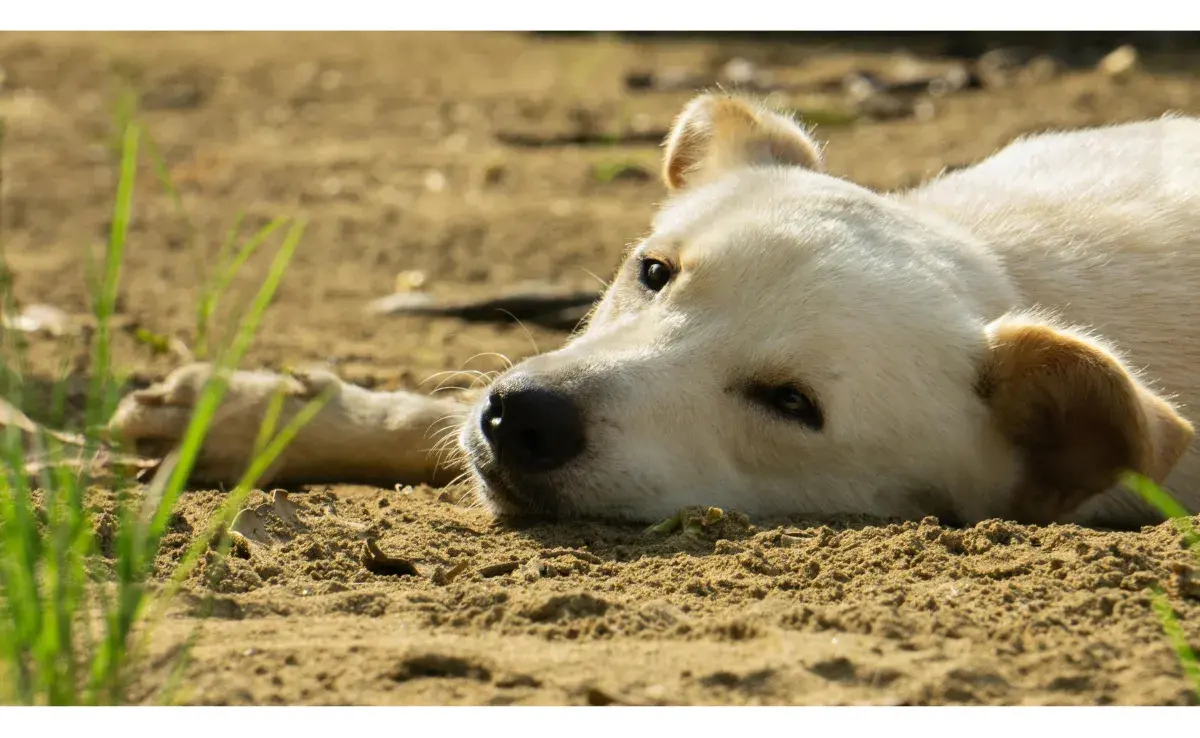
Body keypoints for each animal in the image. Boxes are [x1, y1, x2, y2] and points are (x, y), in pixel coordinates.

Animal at [110, 93, 1200, 530]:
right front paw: (243, 415)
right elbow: (435, 409)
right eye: (653, 271)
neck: (1012, 255)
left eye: (791, 405)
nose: (527, 420)